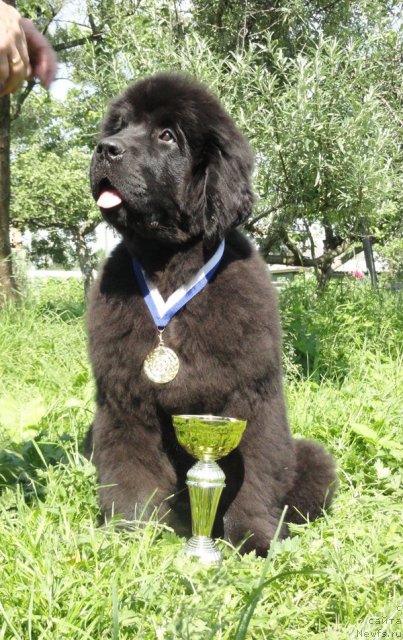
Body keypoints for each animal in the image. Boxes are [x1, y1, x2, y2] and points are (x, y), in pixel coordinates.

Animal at [86, 71, 338, 556]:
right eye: (120, 126)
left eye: (167, 135)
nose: (105, 148)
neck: (170, 269)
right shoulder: (125, 401)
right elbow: (131, 469)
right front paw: (133, 535)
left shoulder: (249, 399)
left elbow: (254, 475)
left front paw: (253, 539)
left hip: (313, 459)